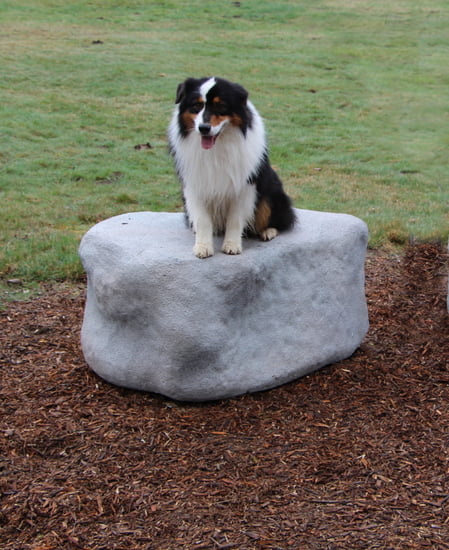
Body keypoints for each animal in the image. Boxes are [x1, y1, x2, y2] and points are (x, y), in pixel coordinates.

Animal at [168, 76, 294, 260]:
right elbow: (202, 220)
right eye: (196, 105)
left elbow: (235, 219)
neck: (218, 147)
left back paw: (268, 231)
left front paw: (232, 245)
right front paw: (203, 247)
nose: (203, 128)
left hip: (270, 193)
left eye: (221, 106)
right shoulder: (194, 184)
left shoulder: (244, 185)